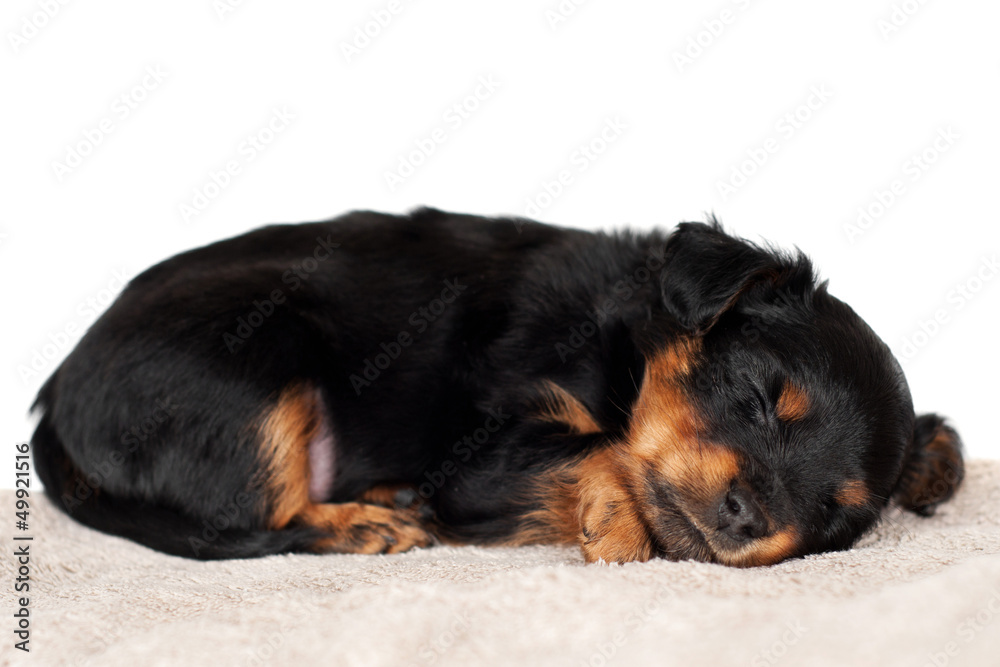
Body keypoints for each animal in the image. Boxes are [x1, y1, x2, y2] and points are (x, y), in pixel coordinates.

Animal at [31, 207, 964, 564]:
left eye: (836, 519)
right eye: (761, 395)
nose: (749, 516)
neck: (623, 338)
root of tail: (54, 395)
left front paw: (938, 457)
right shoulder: (478, 458)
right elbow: (601, 445)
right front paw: (616, 515)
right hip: (263, 356)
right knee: (261, 517)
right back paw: (371, 522)